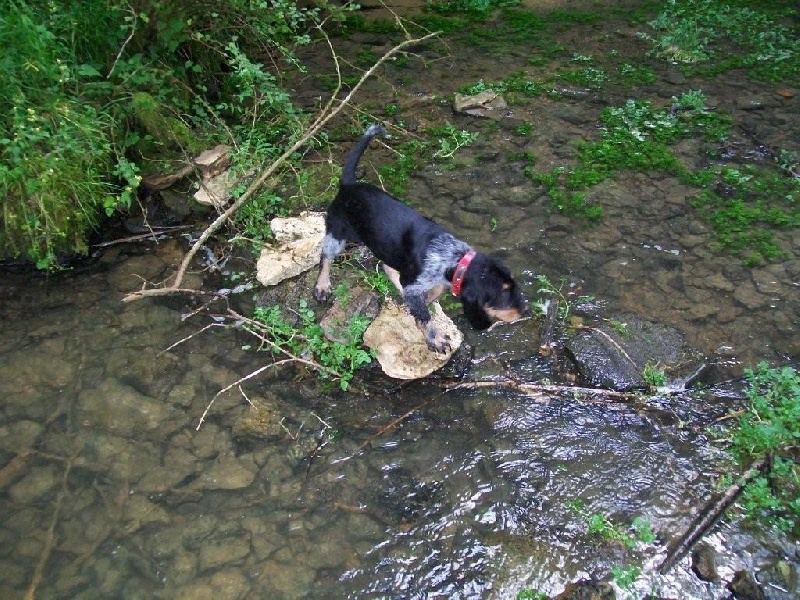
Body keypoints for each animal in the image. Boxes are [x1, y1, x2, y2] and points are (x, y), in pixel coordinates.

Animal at [314, 126, 532, 352]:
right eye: (502, 294)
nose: (526, 310)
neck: (454, 258)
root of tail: (348, 184)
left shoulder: (423, 282)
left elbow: (429, 295)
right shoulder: (416, 283)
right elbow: (425, 316)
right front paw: (434, 338)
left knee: (388, 267)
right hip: (338, 233)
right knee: (325, 256)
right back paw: (322, 285)